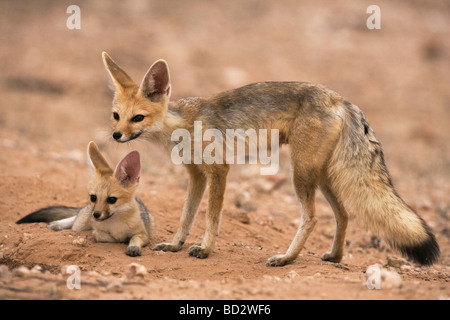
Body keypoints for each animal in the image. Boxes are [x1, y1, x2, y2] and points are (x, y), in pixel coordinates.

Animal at [16, 141, 154, 256]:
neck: (116, 224)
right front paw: (119, 239)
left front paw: (132, 246)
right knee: (75, 219)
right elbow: (100, 235)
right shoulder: (97, 230)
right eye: (93, 197)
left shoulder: (145, 234)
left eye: (112, 200)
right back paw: (58, 224)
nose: (96, 214)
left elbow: (135, 237)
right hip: (81, 223)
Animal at [101, 52, 440, 264]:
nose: (116, 136)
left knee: (312, 217)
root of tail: (339, 98)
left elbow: (211, 217)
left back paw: (287, 259)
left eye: (138, 118)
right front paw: (175, 245)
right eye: (116, 116)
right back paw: (334, 257)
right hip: (321, 175)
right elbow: (186, 216)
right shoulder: (196, 175)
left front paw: (205, 249)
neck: (181, 125)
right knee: (343, 214)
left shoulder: (219, 171)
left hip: (301, 173)